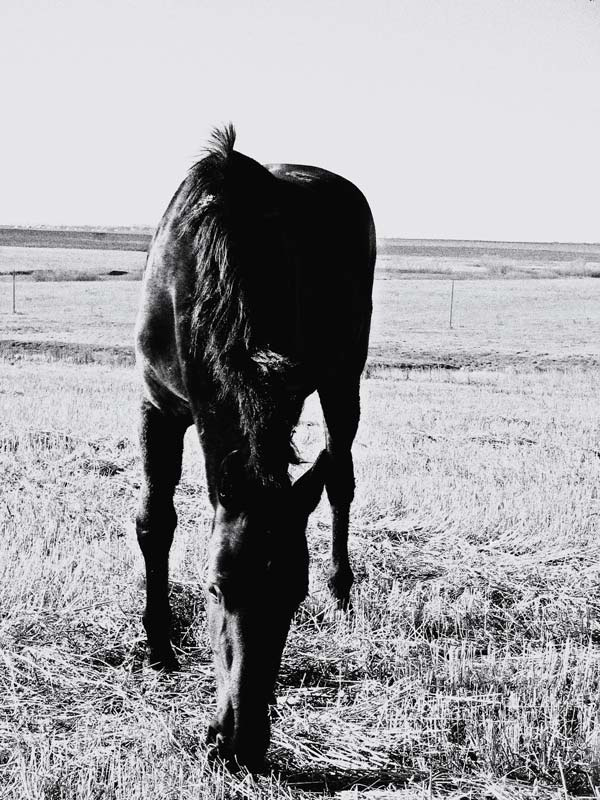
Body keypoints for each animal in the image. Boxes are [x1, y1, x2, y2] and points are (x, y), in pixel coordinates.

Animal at [134, 125, 376, 770]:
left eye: (293, 595)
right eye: (215, 588)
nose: (239, 743)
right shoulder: (158, 405)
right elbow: (155, 522)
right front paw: (159, 645)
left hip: (344, 376)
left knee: (340, 478)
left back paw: (343, 592)